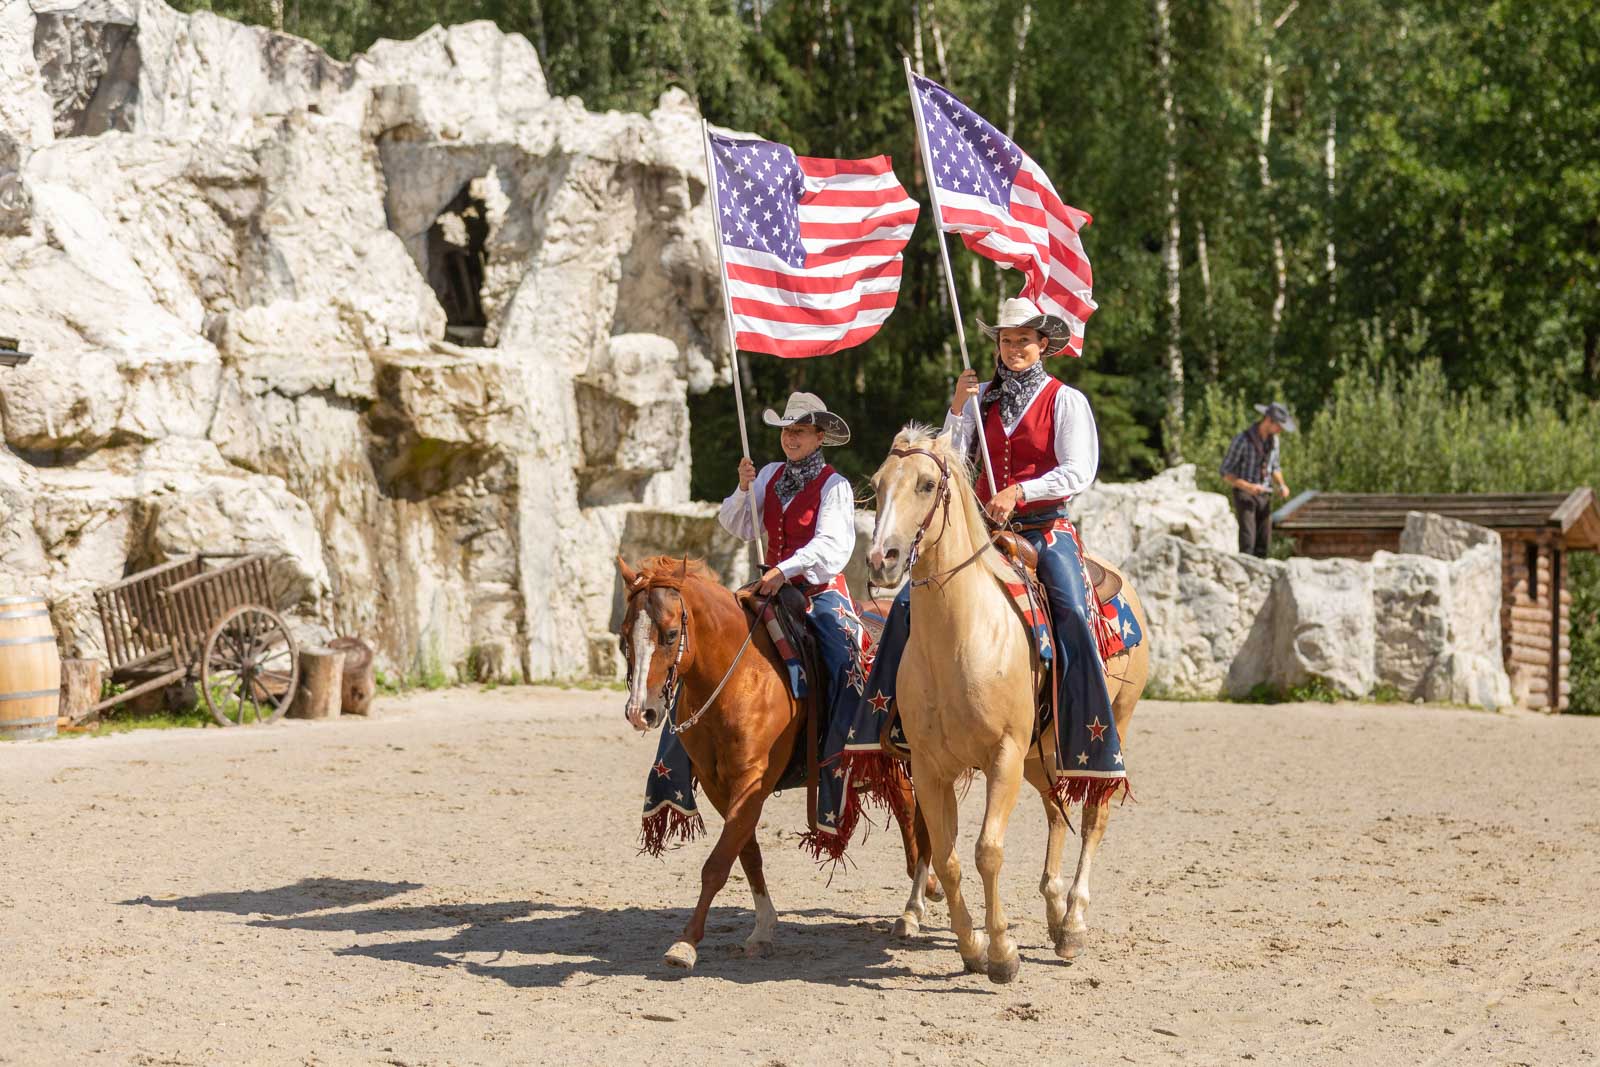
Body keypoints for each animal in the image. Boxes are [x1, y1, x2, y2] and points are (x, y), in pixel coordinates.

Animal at [870, 425, 1145, 985]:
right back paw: (1056, 913)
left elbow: (987, 852)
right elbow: (948, 857)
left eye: (927, 483)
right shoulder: (930, 767)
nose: (882, 558)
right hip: (1042, 756)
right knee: (1056, 813)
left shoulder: (1003, 756)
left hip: (1107, 734)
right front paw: (971, 946)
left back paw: (1074, 921)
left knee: (1093, 818)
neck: (961, 636)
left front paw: (1000, 953)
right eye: (877, 484)